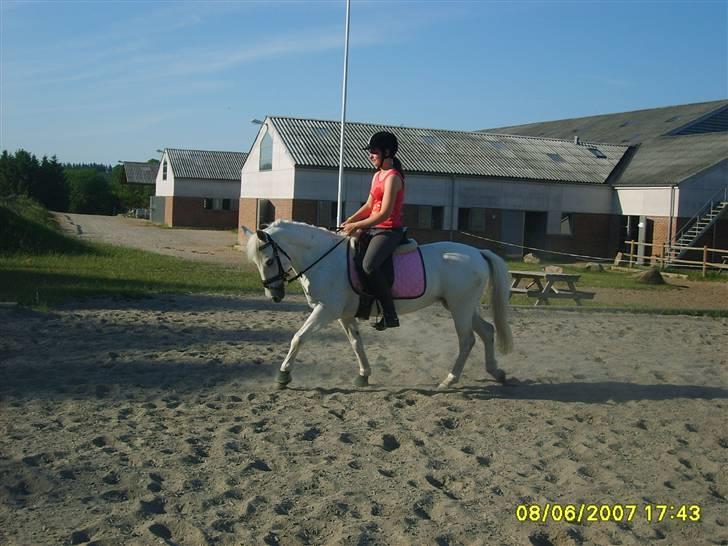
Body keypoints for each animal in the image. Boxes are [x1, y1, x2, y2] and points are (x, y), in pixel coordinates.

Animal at [245, 219, 512, 388]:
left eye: (269, 261)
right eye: (257, 263)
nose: (274, 295)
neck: (325, 259)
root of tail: (478, 253)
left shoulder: (326, 310)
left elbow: (298, 337)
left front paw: (283, 375)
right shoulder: (344, 315)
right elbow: (356, 343)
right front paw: (364, 375)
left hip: (460, 308)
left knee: (467, 340)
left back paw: (450, 379)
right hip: (460, 307)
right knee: (487, 331)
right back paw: (496, 372)